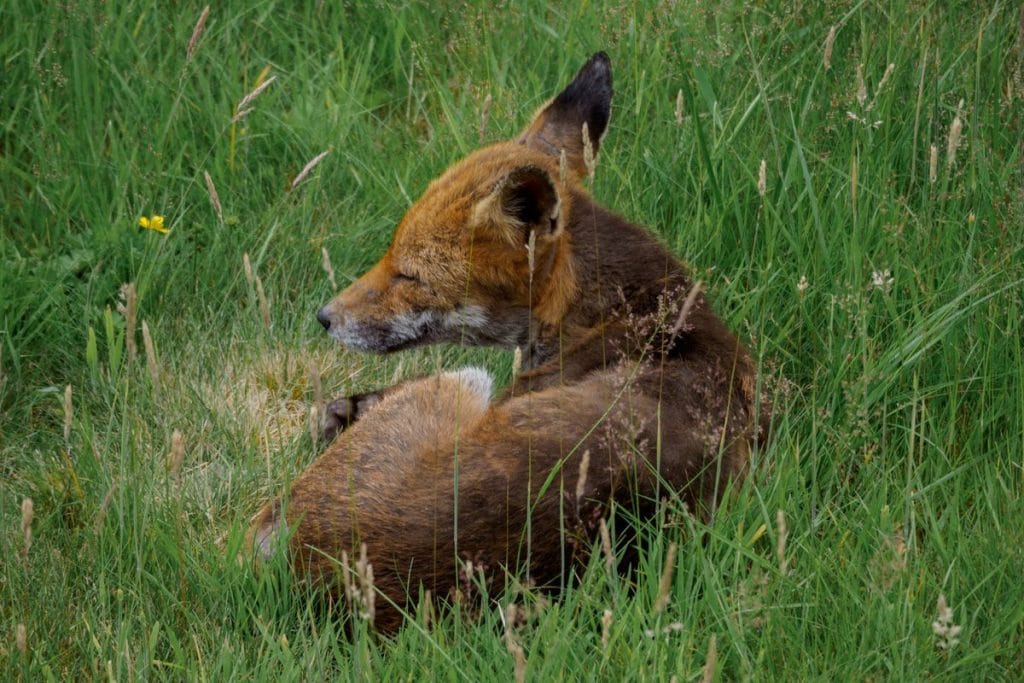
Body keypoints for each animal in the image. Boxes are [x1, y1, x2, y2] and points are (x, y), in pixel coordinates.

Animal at [250, 52, 767, 632]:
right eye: (390, 253)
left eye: (410, 275)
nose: (324, 317)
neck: (646, 322)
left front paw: (343, 411)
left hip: (465, 383)